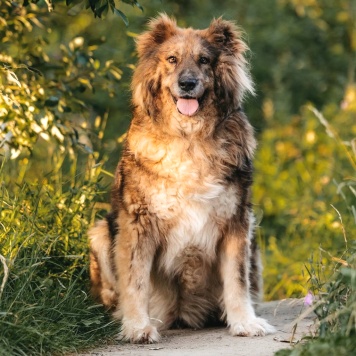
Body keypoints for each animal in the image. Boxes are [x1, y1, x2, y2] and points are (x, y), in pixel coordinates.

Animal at [88, 13, 276, 342]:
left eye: (204, 60)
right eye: (172, 59)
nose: (187, 83)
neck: (190, 138)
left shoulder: (237, 222)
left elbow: (237, 280)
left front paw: (245, 322)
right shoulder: (137, 225)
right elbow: (135, 280)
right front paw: (137, 327)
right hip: (100, 233)